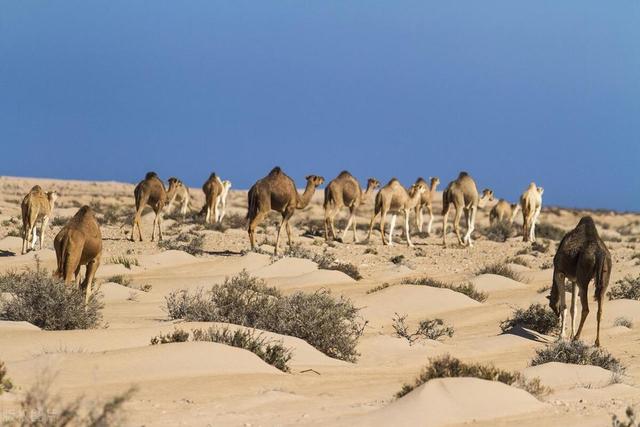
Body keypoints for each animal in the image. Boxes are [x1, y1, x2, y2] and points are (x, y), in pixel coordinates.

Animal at [548, 217, 612, 348]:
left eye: (550, 305)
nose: (556, 314)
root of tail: (600, 254)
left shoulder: (559, 273)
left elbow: (564, 306)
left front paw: (561, 336)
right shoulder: (574, 279)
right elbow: (573, 308)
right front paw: (569, 335)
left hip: (584, 277)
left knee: (586, 308)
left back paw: (577, 338)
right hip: (604, 278)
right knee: (600, 310)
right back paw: (597, 342)